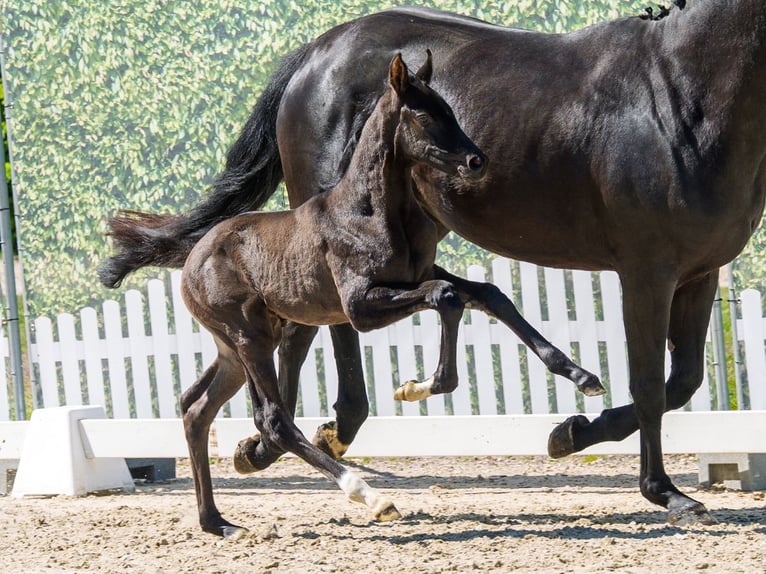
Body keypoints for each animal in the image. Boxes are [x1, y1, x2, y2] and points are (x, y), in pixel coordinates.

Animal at [99, 0, 766, 526]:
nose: (477, 157)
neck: (680, 94)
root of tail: (315, 51)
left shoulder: (699, 272)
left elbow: (683, 381)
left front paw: (570, 431)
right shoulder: (646, 270)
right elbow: (651, 383)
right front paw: (664, 492)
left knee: (296, 340)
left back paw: (272, 448)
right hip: (310, 225)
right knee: (318, 336)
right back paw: (306, 441)